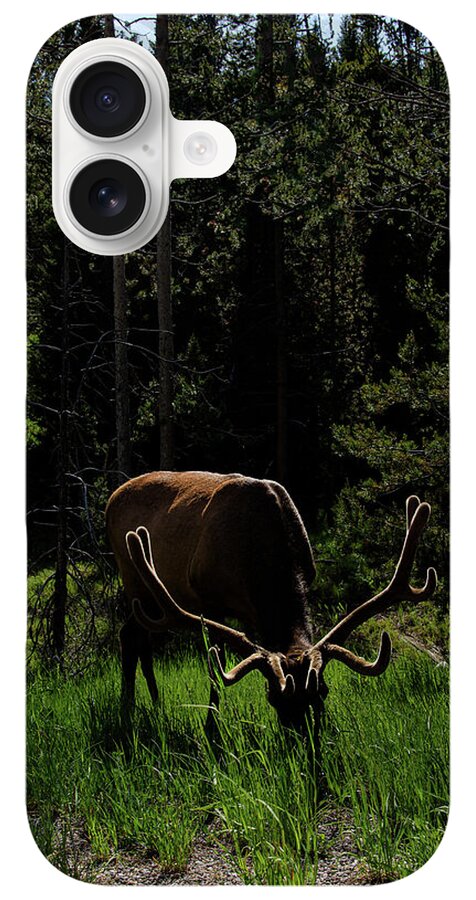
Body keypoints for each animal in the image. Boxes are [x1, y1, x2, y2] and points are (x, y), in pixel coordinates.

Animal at [106, 470, 437, 735]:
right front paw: (212, 729)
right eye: (272, 697)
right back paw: (127, 708)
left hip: (150, 600)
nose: (302, 741)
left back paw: (153, 704)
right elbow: (216, 670)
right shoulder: (209, 601)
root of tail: (112, 498)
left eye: (321, 692)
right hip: (135, 581)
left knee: (137, 637)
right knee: (131, 636)